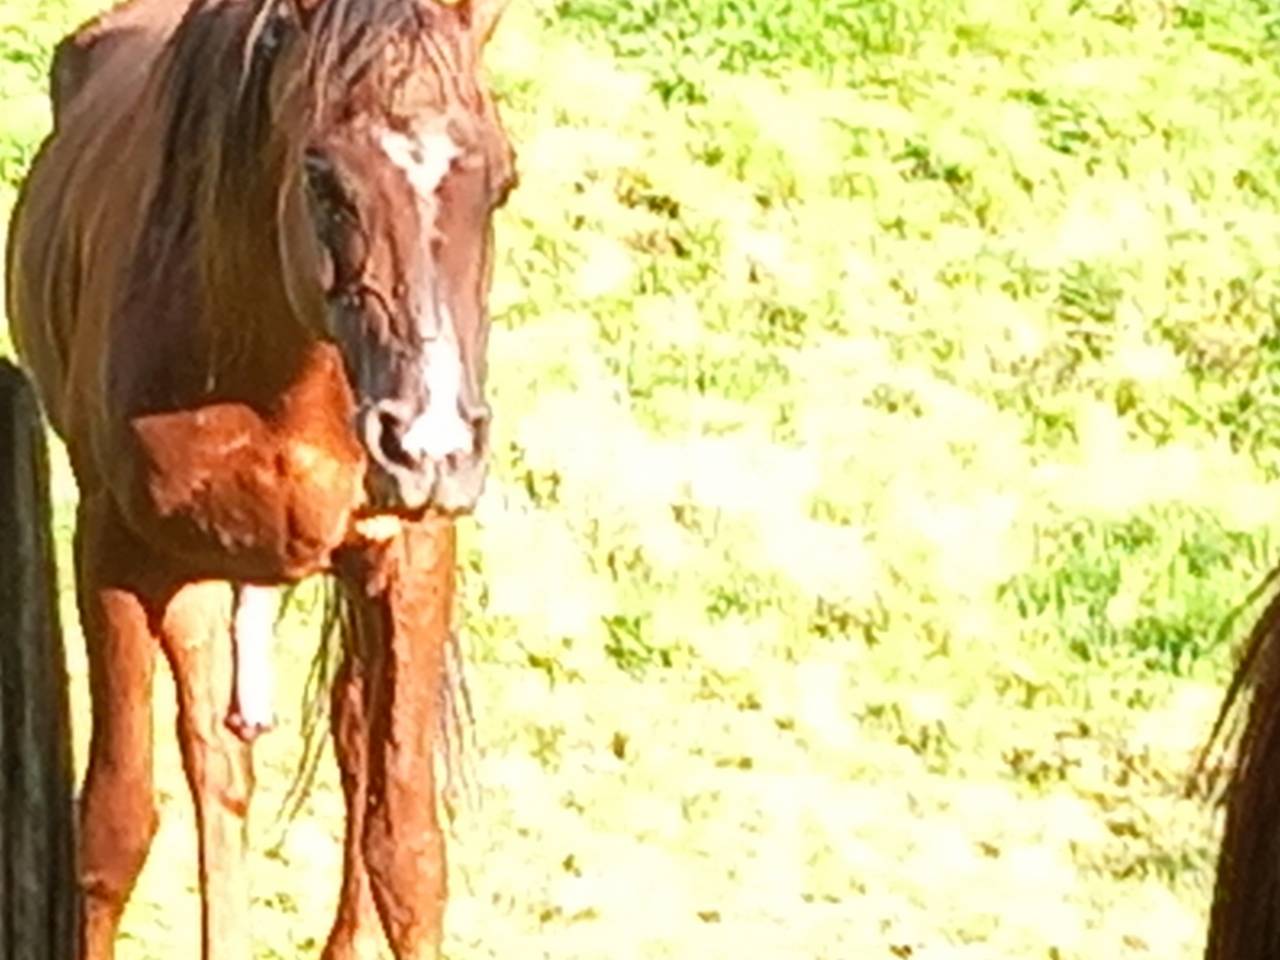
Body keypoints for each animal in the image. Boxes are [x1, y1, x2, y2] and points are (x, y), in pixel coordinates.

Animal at [4, 0, 517, 955]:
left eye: (500, 182)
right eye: (323, 177)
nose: (429, 444)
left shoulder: (409, 555)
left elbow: (406, 852)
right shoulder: (118, 553)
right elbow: (115, 830)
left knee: (338, 746)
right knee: (217, 760)